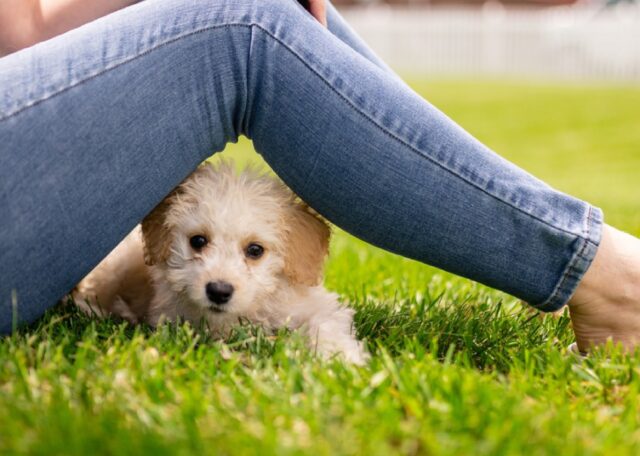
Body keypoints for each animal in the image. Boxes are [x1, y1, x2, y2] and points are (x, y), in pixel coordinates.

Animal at [72, 162, 368, 366]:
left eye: (255, 250)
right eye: (198, 241)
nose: (219, 291)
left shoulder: (316, 305)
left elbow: (326, 322)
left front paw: (342, 358)